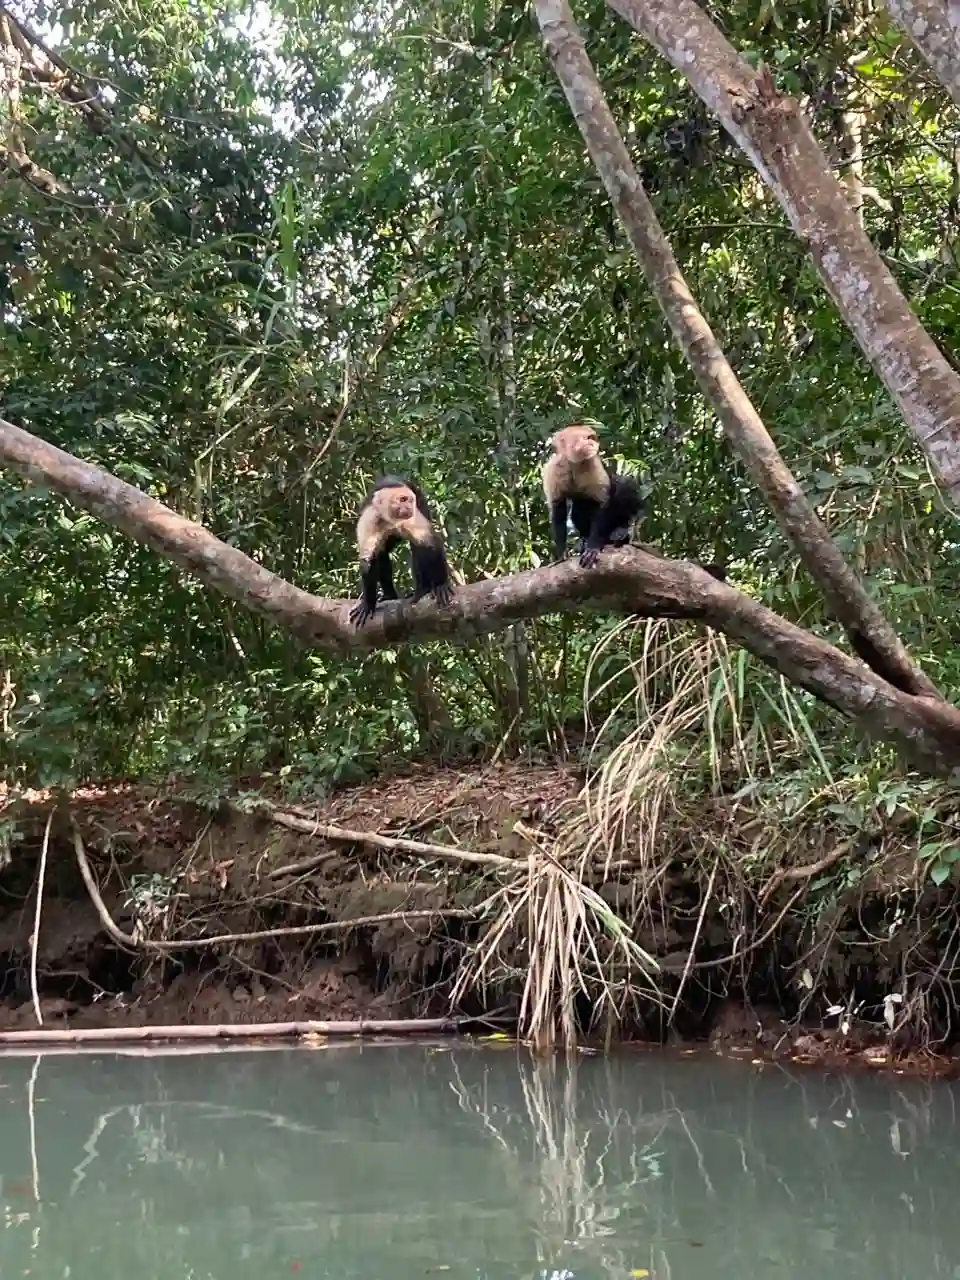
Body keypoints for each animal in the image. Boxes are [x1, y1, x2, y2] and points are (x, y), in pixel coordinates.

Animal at [348, 476, 455, 627]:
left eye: (410, 500)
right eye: (403, 499)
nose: (409, 507)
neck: (389, 520)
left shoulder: (411, 517)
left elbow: (431, 544)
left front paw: (440, 585)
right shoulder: (370, 518)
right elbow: (368, 559)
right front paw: (368, 604)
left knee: (417, 548)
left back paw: (423, 588)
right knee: (381, 553)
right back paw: (389, 595)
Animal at [541, 423, 644, 569]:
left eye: (591, 438)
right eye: (586, 438)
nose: (593, 443)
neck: (574, 463)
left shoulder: (593, 464)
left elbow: (602, 503)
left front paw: (593, 548)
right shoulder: (554, 469)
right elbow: (558, 508)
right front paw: (561, 555)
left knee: (623, 485)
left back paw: (622, 531)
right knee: (579, 508)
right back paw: (584, 539)